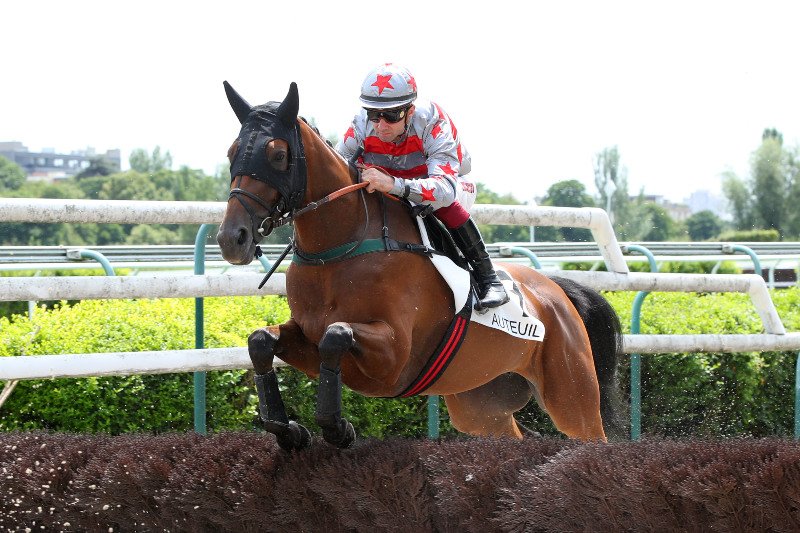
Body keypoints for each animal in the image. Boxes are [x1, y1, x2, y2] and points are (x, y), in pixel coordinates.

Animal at [216, 81, 625, 450]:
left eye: (277, 154)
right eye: (232, 150)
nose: (232, 238)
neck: (339, 252)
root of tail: (558, 290)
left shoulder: (393, 359)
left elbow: (337, 335)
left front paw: (337, 428)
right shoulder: (308, 335)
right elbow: (260, 341)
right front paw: (288, 430)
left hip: (572, 396)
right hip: (480, 404)